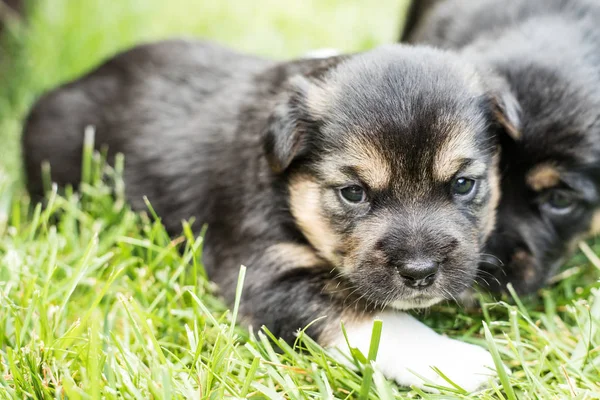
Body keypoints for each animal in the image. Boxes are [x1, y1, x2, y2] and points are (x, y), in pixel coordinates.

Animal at [22, 40, 516, 390]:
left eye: (463, 184)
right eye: (353, 193)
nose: (420, 272)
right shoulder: (265, 273)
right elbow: (371, 318)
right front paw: (453, 362)